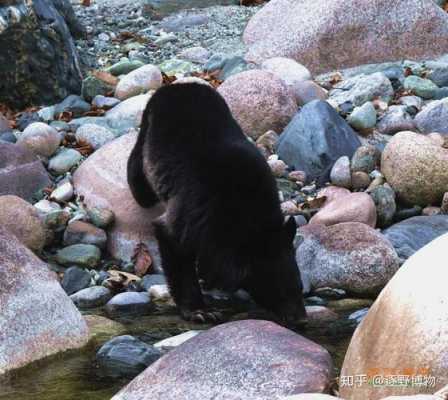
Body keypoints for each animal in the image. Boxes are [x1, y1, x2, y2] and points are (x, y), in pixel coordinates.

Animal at [128, 83, 306, 324]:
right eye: (277, 288)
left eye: (300, 285)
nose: (301, 319)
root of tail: (177, 85)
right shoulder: (194, 207)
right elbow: (172, 240)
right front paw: (199, 310)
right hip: (148, 133)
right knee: (138, 175)